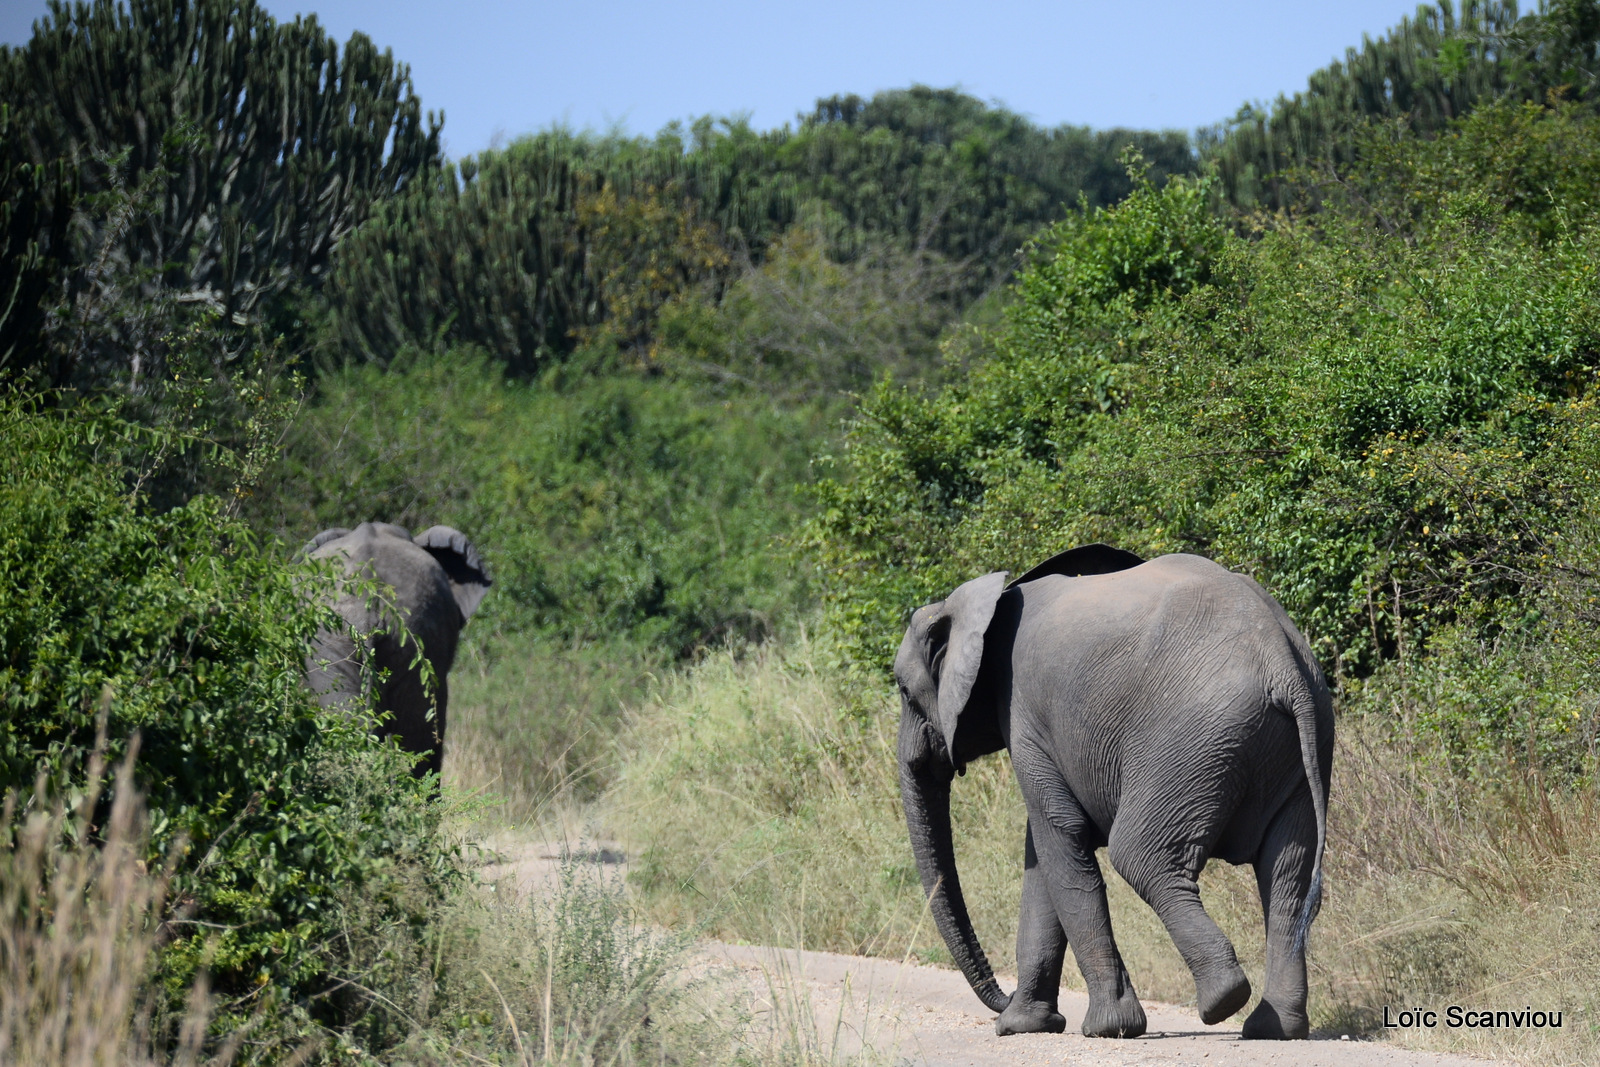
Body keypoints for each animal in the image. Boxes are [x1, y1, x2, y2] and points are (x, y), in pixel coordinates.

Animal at [896, 550, 1331, 1043]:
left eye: (904, 691)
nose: (999, 999)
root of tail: (1280, 659)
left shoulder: (1021, 710)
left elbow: (1059, 838)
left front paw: (1107, 1028)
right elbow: (1041, 858)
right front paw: (1024, 1026)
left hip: (1195, 738)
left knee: (1139, 855)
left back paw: (1223, 1000)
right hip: (1295, 746)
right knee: (1288, 876)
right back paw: (1272, 1027)